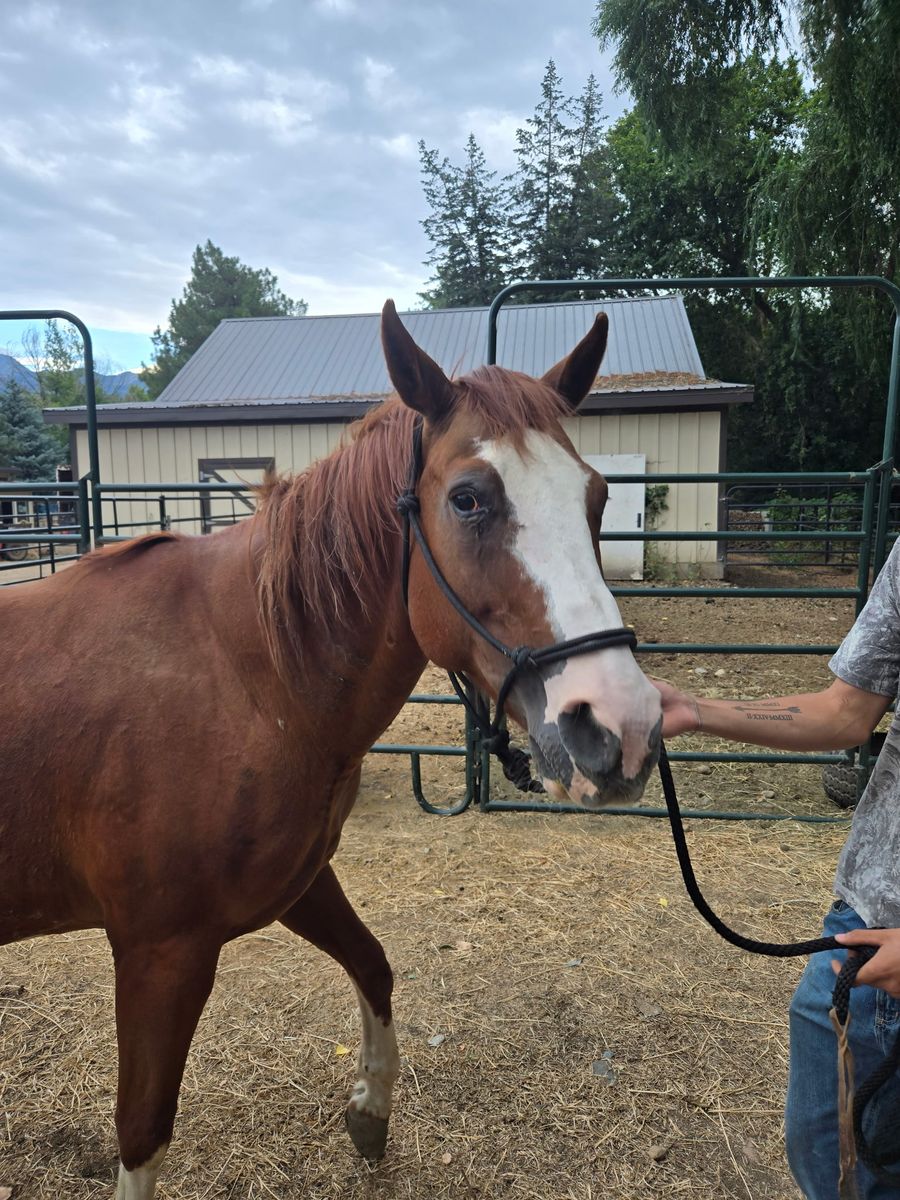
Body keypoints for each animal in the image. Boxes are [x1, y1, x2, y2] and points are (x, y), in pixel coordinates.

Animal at [0, 302, 662, 1198]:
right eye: (468, 499)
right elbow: (142, 1133)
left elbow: (375, 966)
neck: (250, 678)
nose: (620, 727)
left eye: (596, 497)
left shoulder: (300, 883)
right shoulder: (157, 952)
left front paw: (369, 1112)